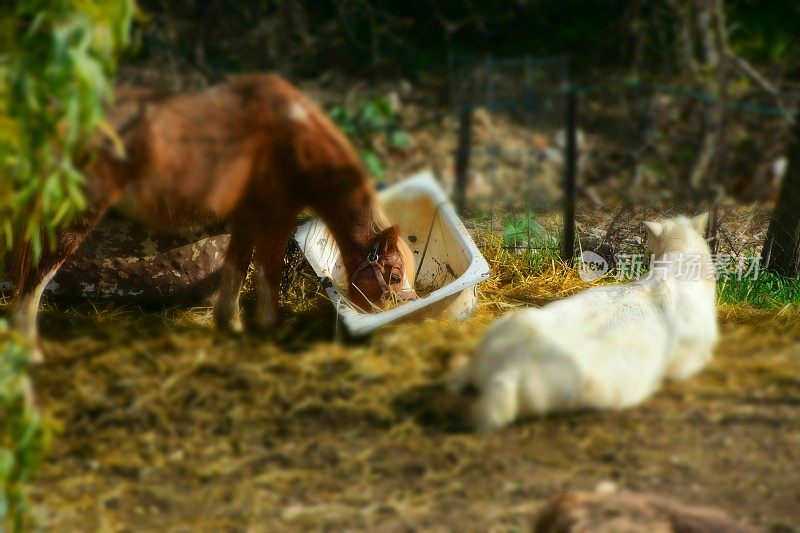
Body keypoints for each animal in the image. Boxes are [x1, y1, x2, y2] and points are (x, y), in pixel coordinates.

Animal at [7, 74, 418, 358]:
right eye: (395, 276)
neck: (293, 138)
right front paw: (268, 328)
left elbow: (236, 266)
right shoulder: (276, 218)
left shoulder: (248, 218)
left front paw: (229, 324)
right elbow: (267, 271)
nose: (407, 317)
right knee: (36, 278)